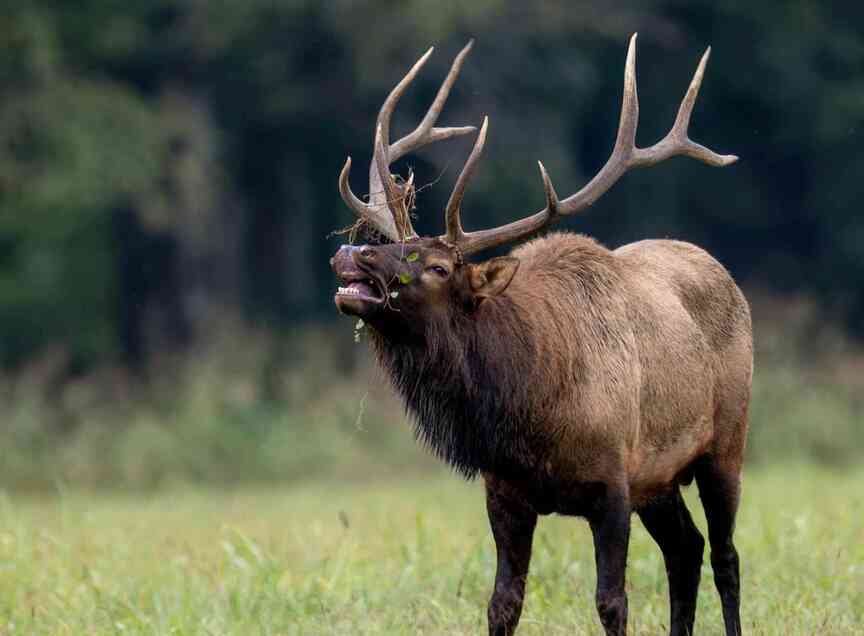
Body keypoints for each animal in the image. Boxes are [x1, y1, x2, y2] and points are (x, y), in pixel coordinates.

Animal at [330, 34, 751, 636]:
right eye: (393, 246)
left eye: (438, 266)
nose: (351, 252)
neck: (532, 413)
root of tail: (724, 273)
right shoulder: (506, 493)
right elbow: (502, 603)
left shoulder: (613, 483)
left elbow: (612, 601)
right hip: (661, 478)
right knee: (685, 549)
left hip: (726, 441)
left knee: (724, 555)